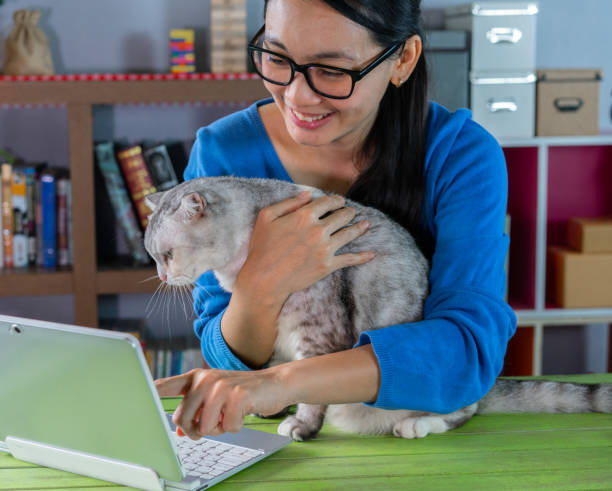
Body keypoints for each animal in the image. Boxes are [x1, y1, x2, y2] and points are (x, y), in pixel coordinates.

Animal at [145, 177, 612, 442]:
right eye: (152, 256)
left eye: (166, 254)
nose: (162, 277)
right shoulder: (275, 333)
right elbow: (273, 371)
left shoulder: (317, 333)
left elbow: (303, 382)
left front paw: (301, 425)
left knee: (465, 410)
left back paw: (417, 425)